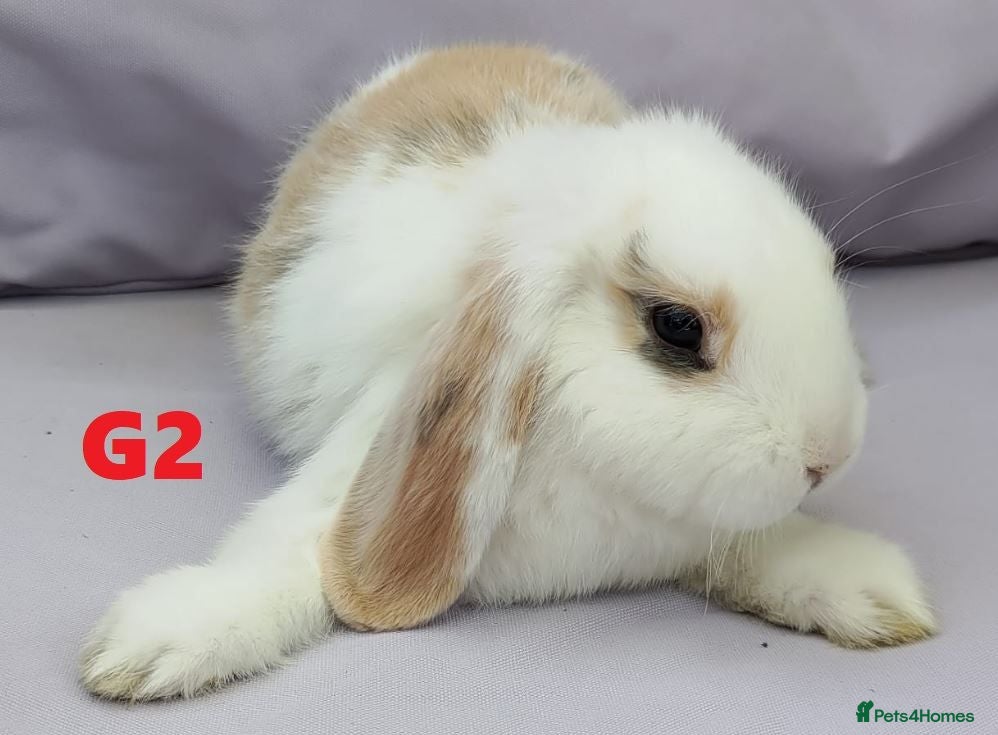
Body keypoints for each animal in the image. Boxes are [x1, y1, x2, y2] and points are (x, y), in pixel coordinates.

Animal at [79, 43, 936, 700]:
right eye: (677, 325)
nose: (827, 457)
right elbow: (290, 558)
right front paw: (156, 640)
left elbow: (762, 544)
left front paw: (868, 586)